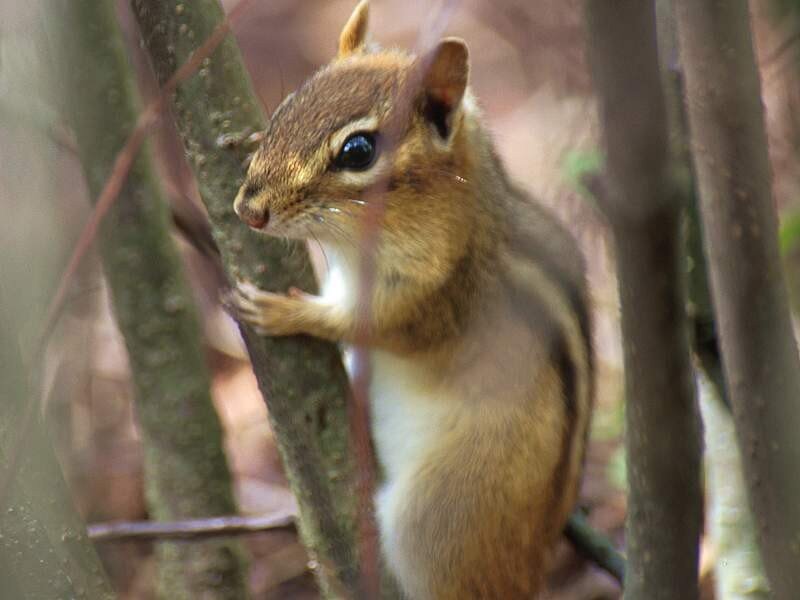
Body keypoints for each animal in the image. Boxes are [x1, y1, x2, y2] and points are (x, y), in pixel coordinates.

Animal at [230, 2, 593, 598]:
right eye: (287, 106)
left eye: (358, 151)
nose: (248, 211)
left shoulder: (434, 294)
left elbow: (370, 324)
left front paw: (286, 311)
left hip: (436, 513)